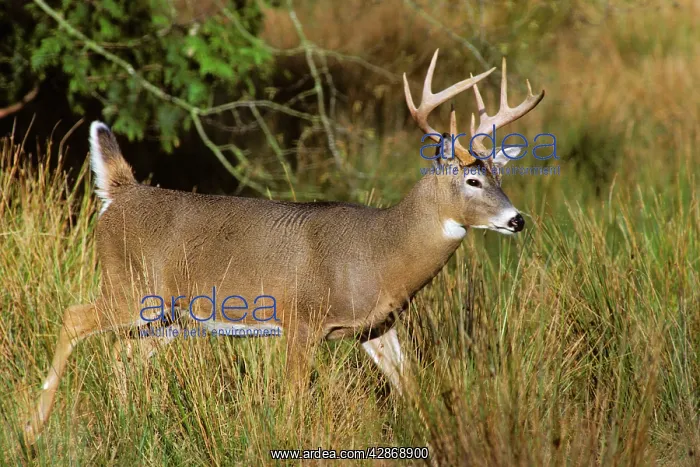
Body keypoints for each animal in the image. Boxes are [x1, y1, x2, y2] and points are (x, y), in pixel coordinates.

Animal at [24, 49, 544, 443]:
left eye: (501, 178)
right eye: (473, 180)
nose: (517, 220)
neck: (380, 253)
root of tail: (121, 194)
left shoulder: (375, 327)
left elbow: (410, 386)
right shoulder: (301, 317)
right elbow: (295, 399)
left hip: (169, 315)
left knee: (123, 354)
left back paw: (129, 422)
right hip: (128, 285)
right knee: (73, 319)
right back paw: (34, 426)